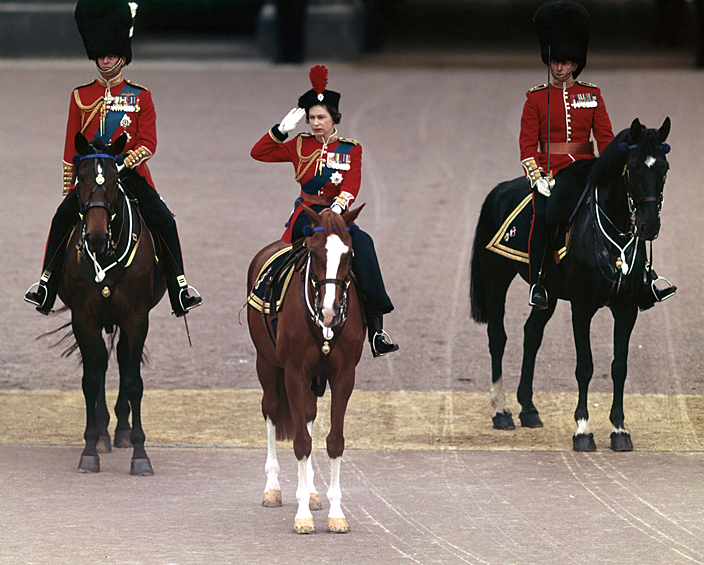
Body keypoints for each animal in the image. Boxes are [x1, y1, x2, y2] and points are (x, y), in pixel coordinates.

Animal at [58, 132, 166, 472]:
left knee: (121, 357)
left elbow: (133, 382)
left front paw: (140, 454)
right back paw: (105, 432)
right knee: (103, 362)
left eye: (116, 180)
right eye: (80, 178)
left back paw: (121, 430)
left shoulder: (137, 318)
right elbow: (91, 379)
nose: (94, 239)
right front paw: (90, 448)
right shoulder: (84, 318)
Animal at [248, 204, 366, 532]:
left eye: (348, 254)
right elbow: (301, 442)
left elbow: (334, 442)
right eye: (314, 252)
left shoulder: (344, 376)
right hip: (266, 364)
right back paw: (273, 489)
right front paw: (302, 516)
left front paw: (336, 513)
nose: (328, 311)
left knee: (310, 415)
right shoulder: (294, 373)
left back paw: (312, 492)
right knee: (271, 411)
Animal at [470, 117, 668, 452]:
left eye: (664, 168)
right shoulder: (582, 307)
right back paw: (502, 411)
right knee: (498, 337)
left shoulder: (627, 309)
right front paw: (583, 430)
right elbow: (585, 366)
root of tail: (500, 189)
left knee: (531, 334)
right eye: (632, 168)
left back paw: (529, 409)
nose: (648, 226)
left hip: (546, 292)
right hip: (497, 279)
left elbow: (619, 366)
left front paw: (619, 429)